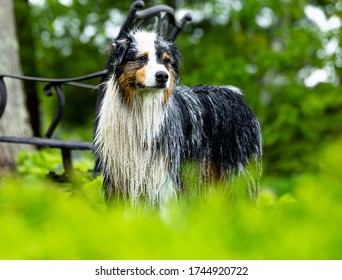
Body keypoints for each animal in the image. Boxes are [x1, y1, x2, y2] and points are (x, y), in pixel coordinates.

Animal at [93, 29, 262, 206]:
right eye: (142, 58)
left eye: (166, 60)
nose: (162, 76)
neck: (142, 107)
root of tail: (235, 94)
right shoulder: (119, 176)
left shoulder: (163, 174)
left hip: (238, 171)